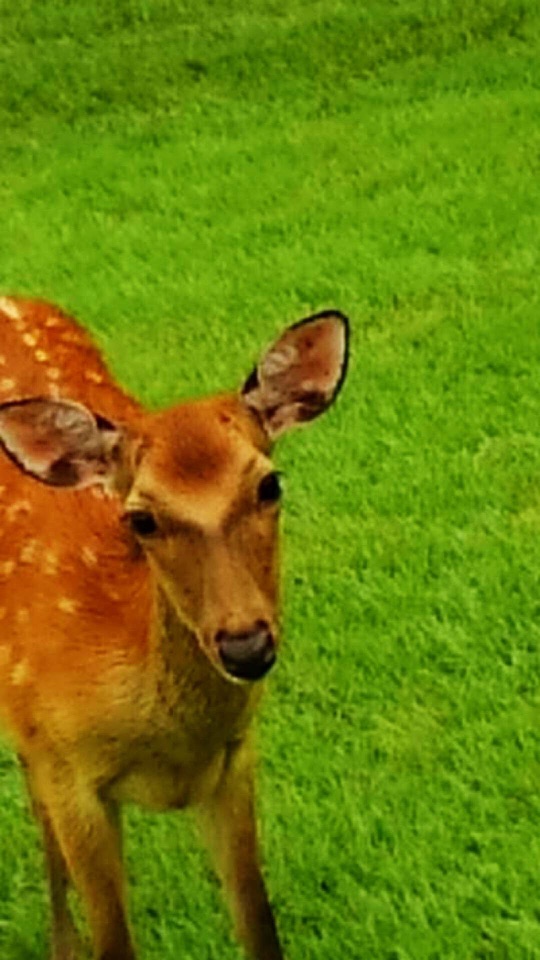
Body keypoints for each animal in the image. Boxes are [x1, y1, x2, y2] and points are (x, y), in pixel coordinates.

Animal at [0, 295, 349, 960]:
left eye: (269, 483)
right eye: (141, 519)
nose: (245, 643)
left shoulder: (234, 757)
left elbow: (259, 926)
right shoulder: (67, 771)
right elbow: (114, 943)